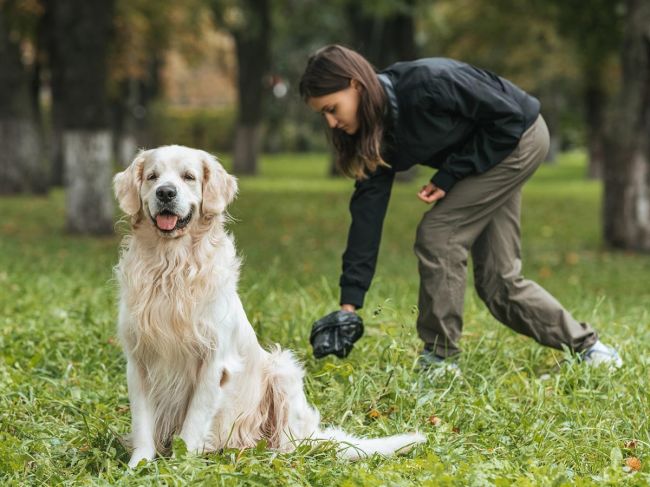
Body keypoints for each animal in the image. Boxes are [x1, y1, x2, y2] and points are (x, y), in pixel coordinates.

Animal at [111, 146, 426, 468]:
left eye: (189, 177)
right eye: (152, 177)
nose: (165, 193)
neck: (171, 266)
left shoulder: (214, 362)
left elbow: (192, 424)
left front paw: (178, 466)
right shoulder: (138, 360)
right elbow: (143, 424)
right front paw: (138, 466)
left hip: (283, 370)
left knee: (291, 444)